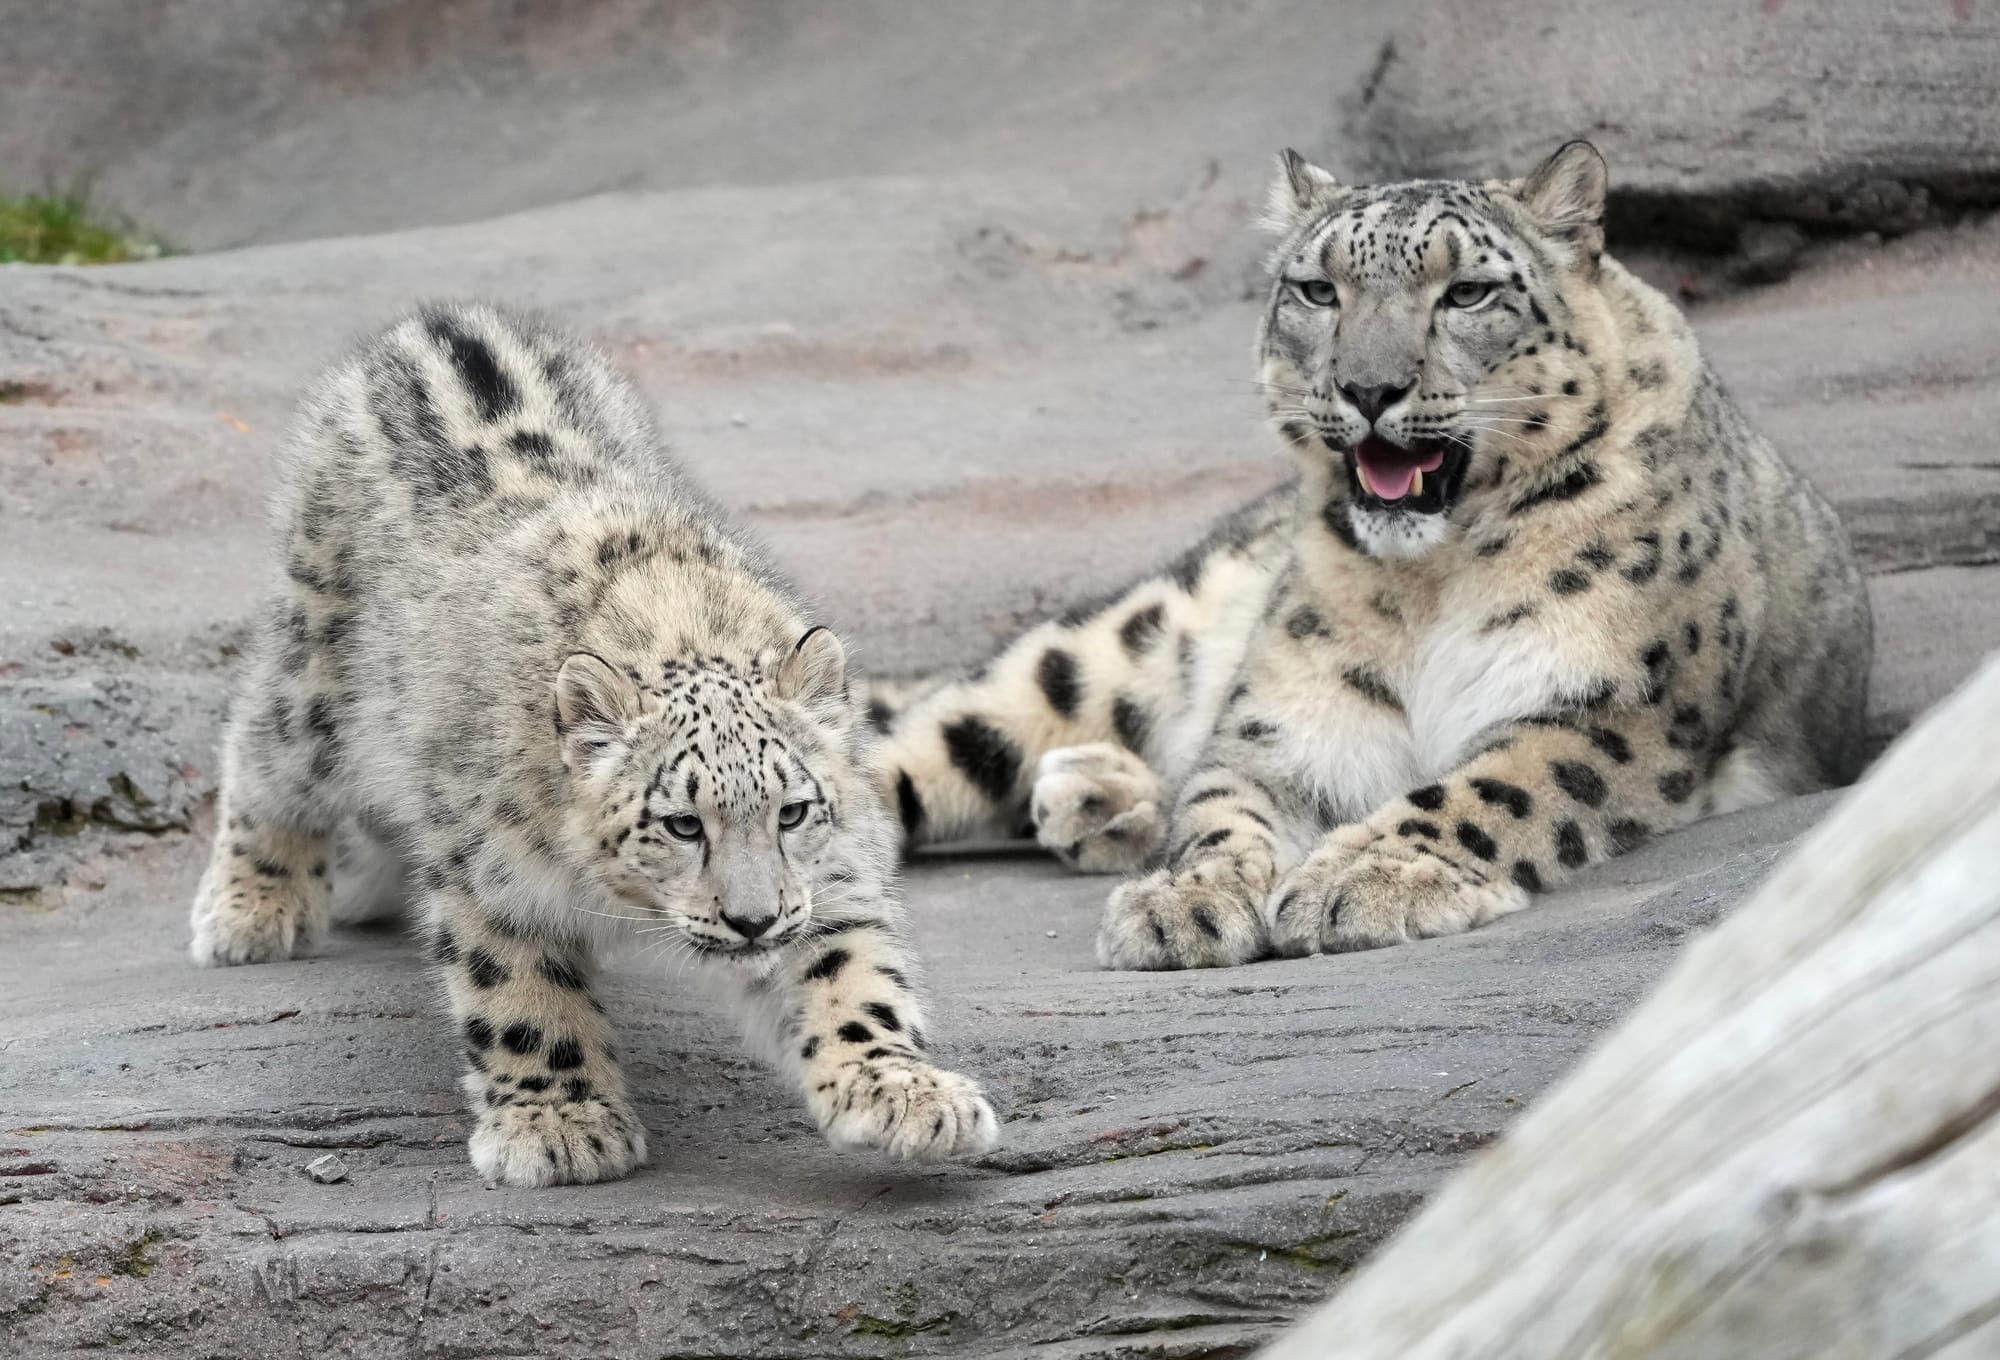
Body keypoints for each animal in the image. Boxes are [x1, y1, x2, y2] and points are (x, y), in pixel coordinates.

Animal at [186, 306, 992, 1176]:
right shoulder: (494, 876)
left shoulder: (831, 880)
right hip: (316, 687)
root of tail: (441, 323)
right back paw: (250, 909)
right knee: (263, 755)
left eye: (794, 812)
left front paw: (905, 1093)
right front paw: (560, 1126)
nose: (753, 922)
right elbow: (521, 994)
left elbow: (850, 976)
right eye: (682, 824)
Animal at [876, 143, 1872, 972]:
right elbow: (1224, 808)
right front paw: (1186, 900)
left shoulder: (1606, 704)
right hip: (1111, 644)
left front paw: (1360, 881)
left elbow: (1488, 791)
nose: (1367, 388)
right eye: (1318, 291)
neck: (1434, 581)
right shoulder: (1287, 718)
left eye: (1467, 293)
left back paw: (1096, 798)